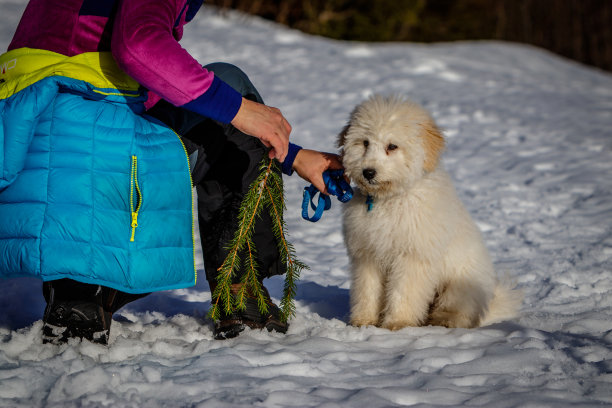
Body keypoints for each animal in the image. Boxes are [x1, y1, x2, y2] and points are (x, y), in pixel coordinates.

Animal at [340, 96, 520, 332]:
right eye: (365, 143)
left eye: (392, 146)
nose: (368, 172)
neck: (390, 200)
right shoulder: (367, 255)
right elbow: (367, 290)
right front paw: (363, 321)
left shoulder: (412, 256)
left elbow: (403, 292)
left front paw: (397, 323)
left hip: (459, 285)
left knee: (459, 312)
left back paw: (444, 320)